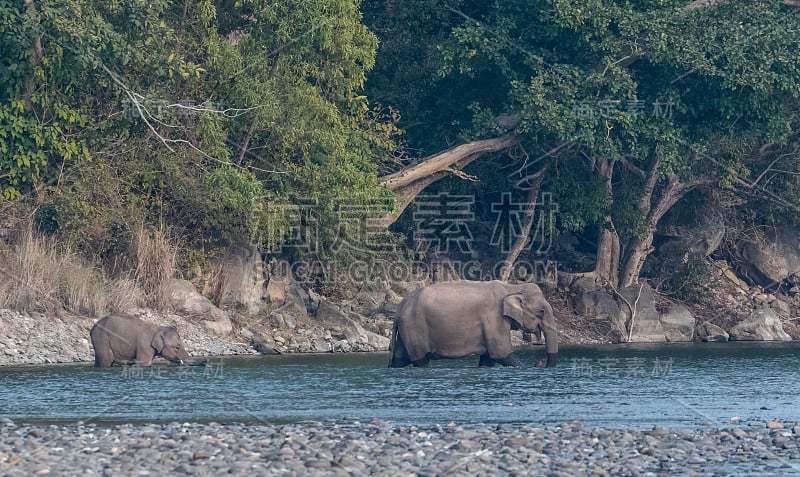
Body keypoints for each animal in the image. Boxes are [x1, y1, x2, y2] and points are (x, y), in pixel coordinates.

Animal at [388, 280, 556, 366]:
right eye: (541, 311)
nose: (539, 363)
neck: (512, 287)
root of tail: (401, 306)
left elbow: (488, 359)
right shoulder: (493, 318)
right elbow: (502, 354)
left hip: (406, 330)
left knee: (400, 359)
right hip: (414, 329)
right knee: (420, 360)